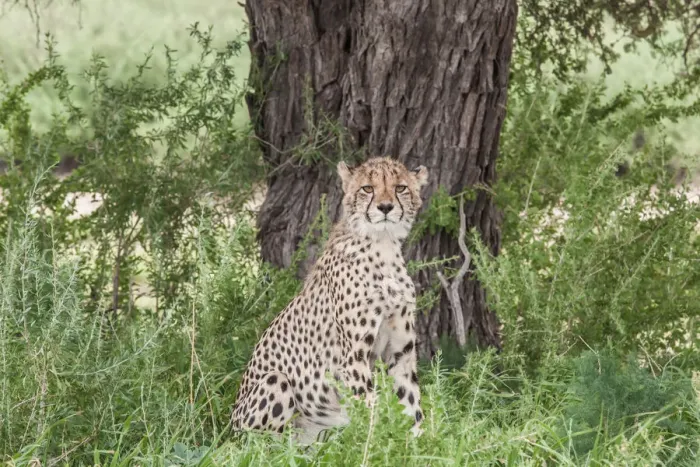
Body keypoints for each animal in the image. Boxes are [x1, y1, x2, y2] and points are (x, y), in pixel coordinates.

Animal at [230, 156, 429, 444]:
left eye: (400, 187)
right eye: (367, 188)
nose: (385, 207)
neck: (383, 246)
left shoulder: (400, 353)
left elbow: (411, 404)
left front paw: (419, 444)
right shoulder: (354, 358)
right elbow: (369, 407)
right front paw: (376, 442)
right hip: (274, 383)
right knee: (262, 446)